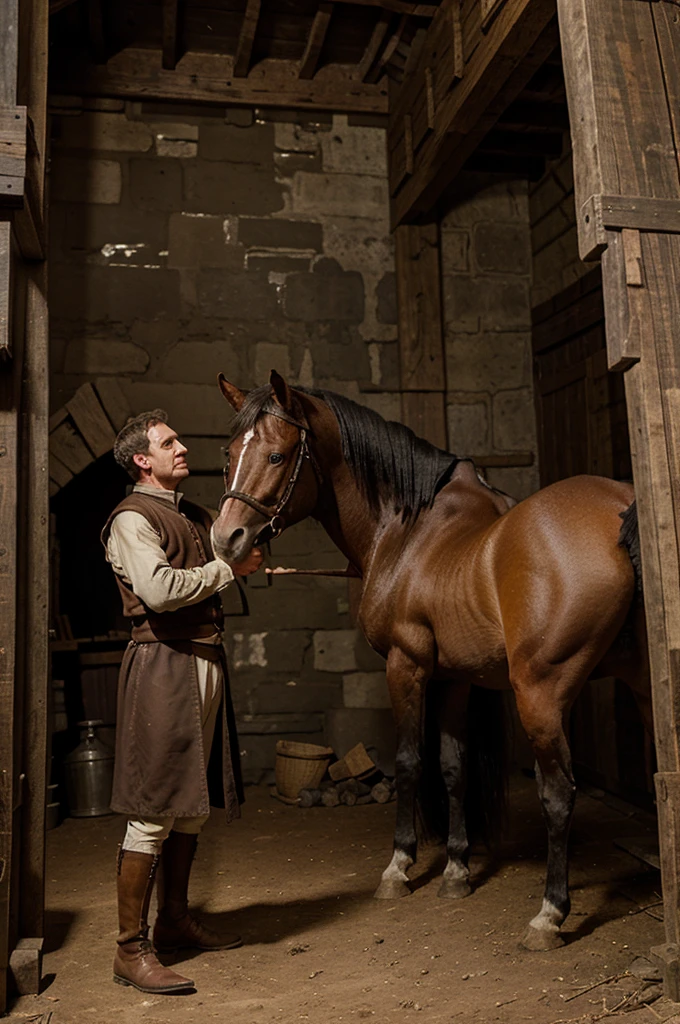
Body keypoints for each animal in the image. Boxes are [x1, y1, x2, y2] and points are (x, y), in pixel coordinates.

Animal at [210, 368, 647, 950]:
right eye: (230, 451)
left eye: (277, 455)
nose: (226, 539)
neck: (407, 532)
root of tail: (619, 507)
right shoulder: (456, 679)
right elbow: (453, 766)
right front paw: (457, 870)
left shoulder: (406, 665)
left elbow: (410, 762)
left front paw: (399, 867)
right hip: (642, 682)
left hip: (541, 692)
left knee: (558, 792)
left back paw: (549, 915)